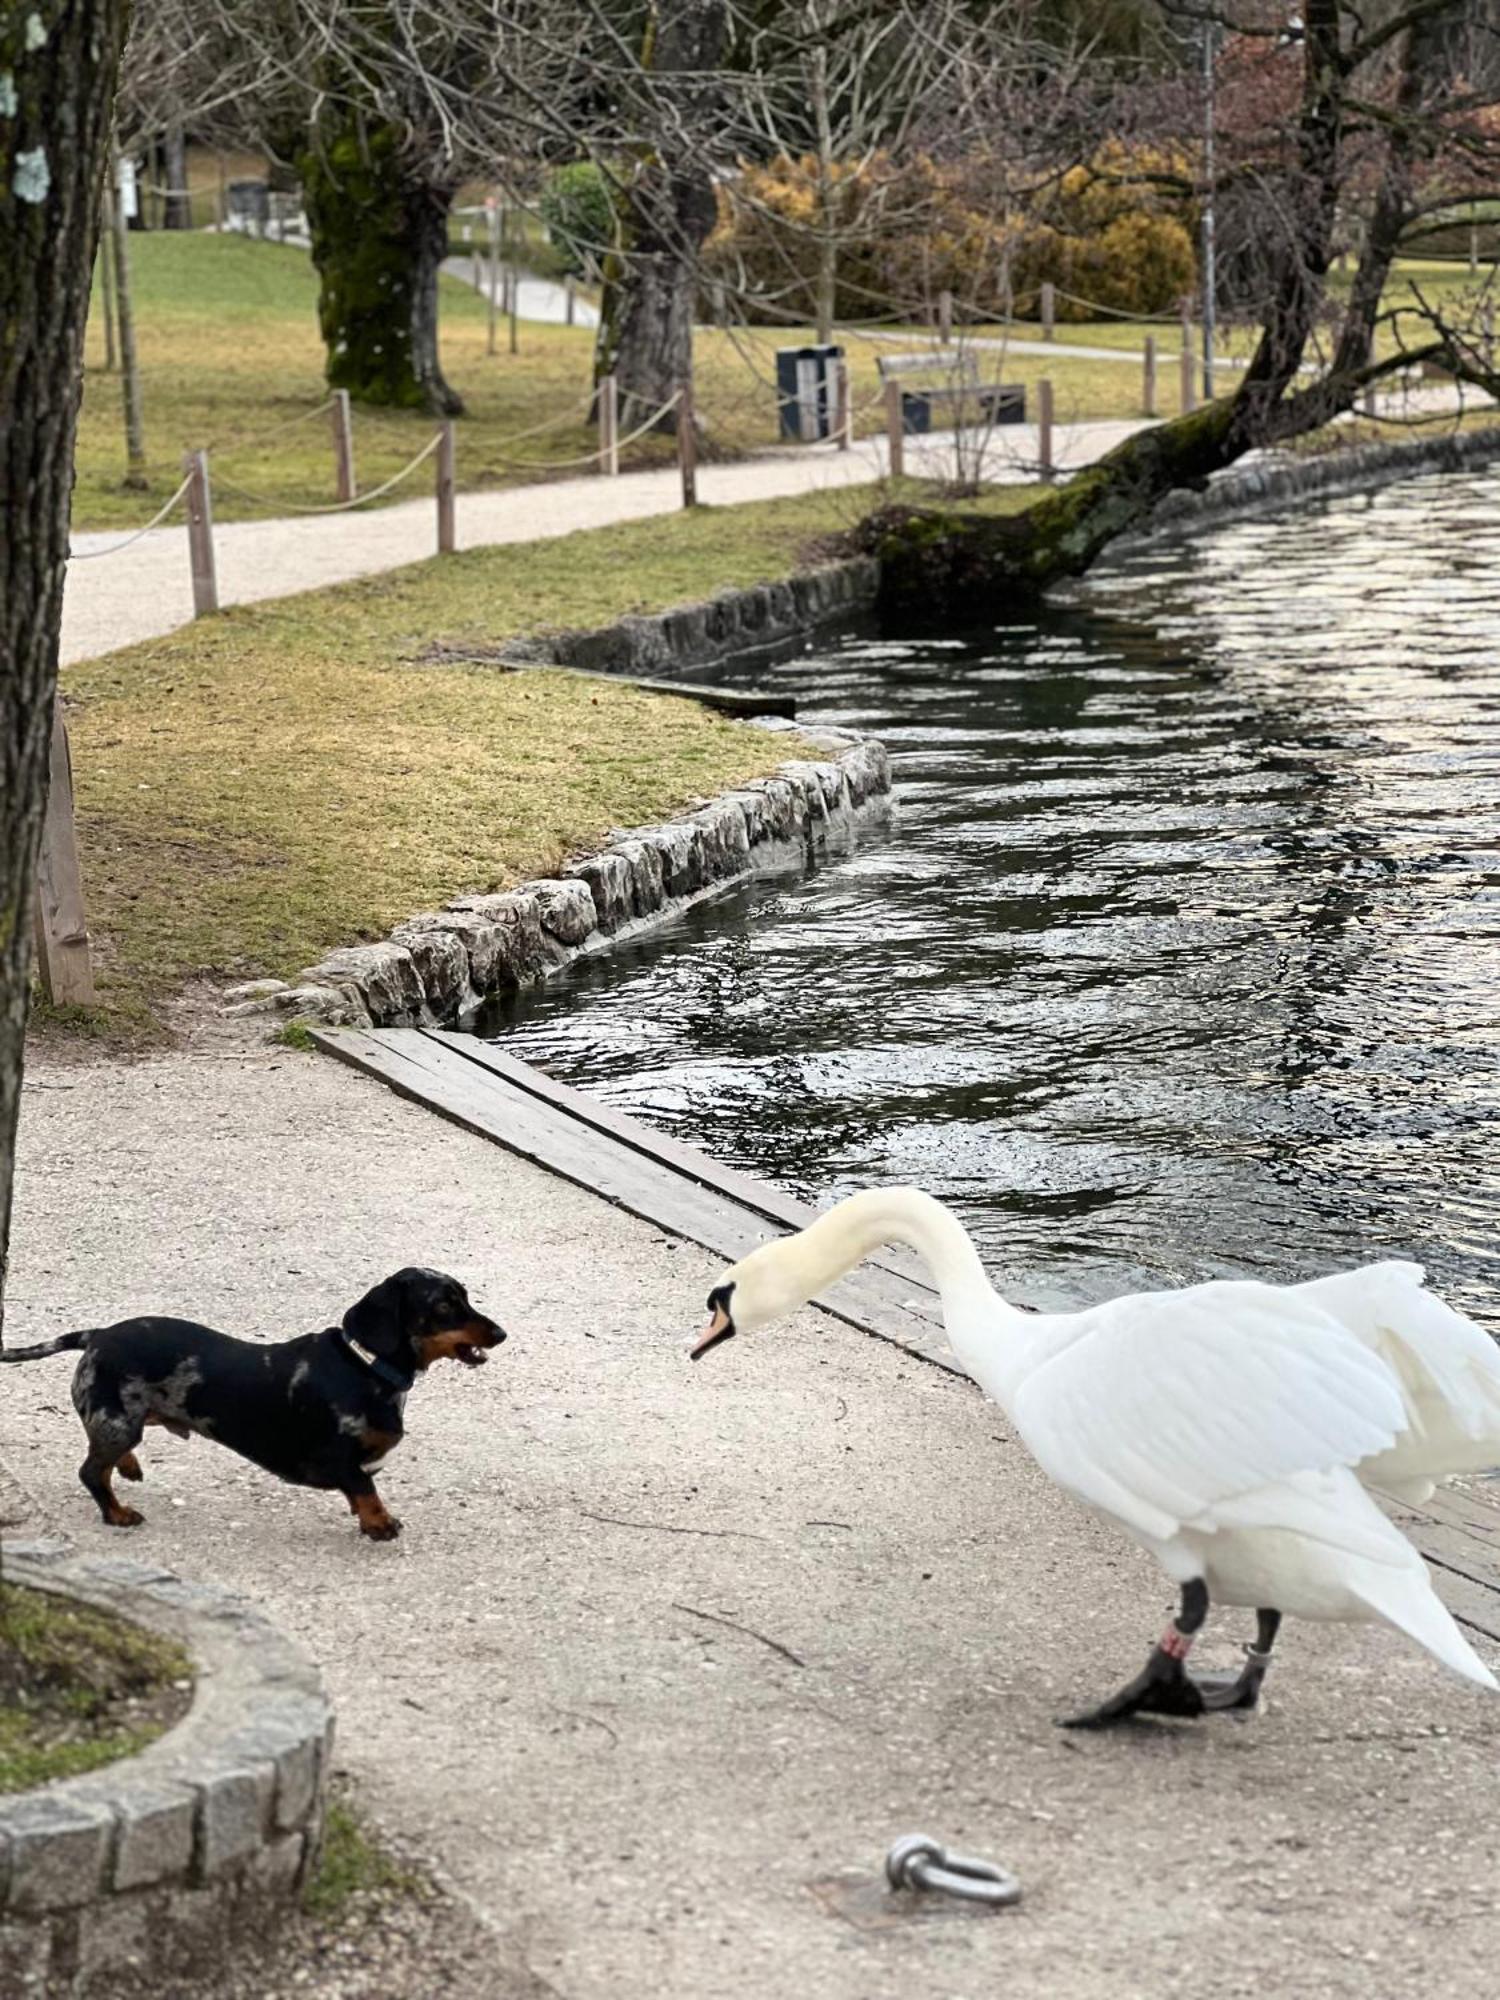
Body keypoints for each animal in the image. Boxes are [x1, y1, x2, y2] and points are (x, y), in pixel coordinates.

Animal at [0, 1272, 508, 1536]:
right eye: (443, 1305)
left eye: (464, 1296)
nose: (501, 1333)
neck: (367, 1368)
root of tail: (98, 1336)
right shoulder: (336, 1456)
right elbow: (365, 1486)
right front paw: (379, 1523)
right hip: (119, 1422)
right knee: (91, 1471)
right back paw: (117, 1513)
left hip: (122, 1423)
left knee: (106, 1459)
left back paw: (128, 1467)